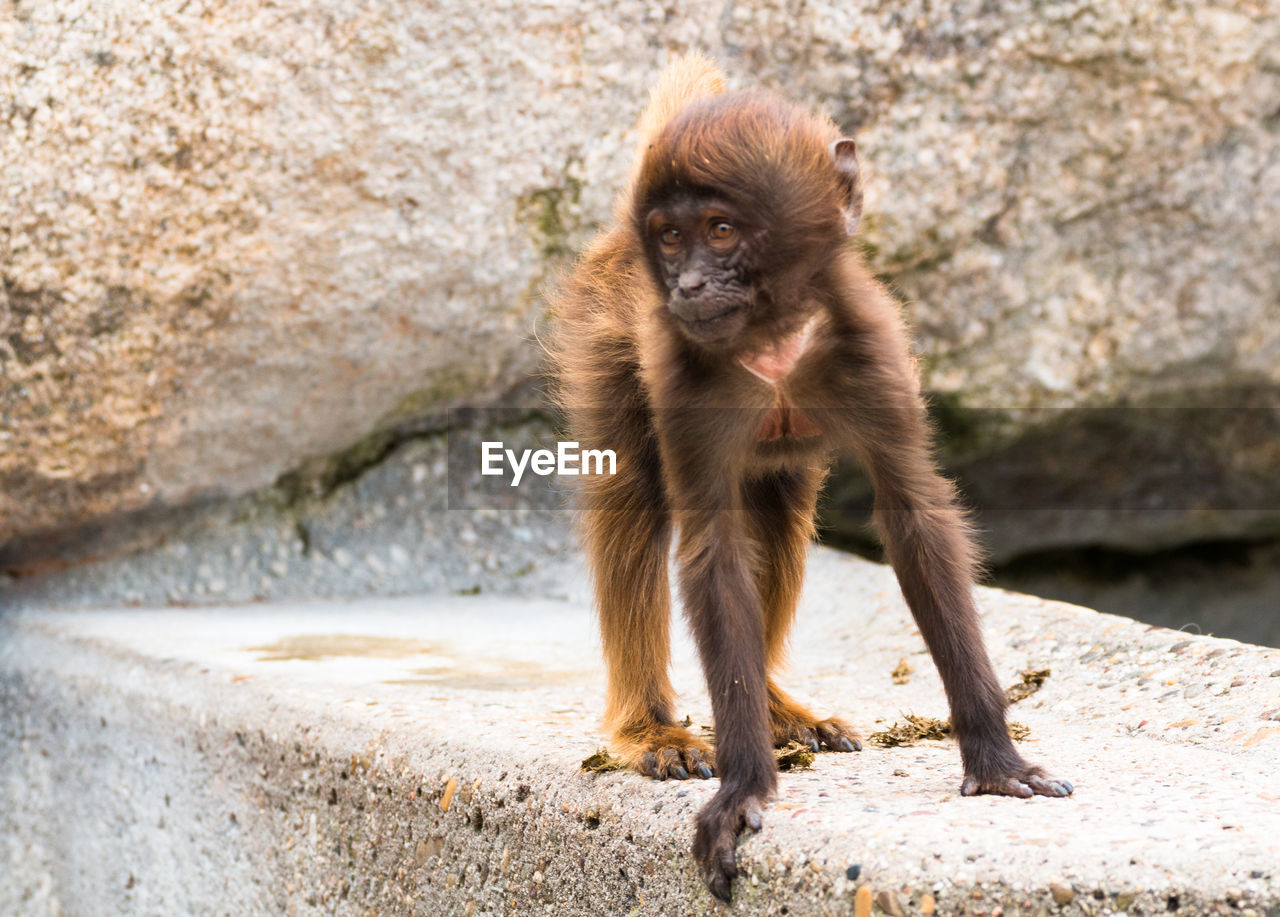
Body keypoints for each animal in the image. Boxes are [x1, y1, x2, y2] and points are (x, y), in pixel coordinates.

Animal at [547, 57, 1070, 901]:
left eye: (721, 230)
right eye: (671, 237)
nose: (687, 287)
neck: (773, 337)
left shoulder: (872, 345)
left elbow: (915, 518)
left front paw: (993, 758)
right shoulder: (684, 376)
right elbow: (710, 545)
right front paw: (742, 790)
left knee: (780, 510)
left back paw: (771, 705)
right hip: (607, 333)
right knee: (634, 502)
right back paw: (652, 727)